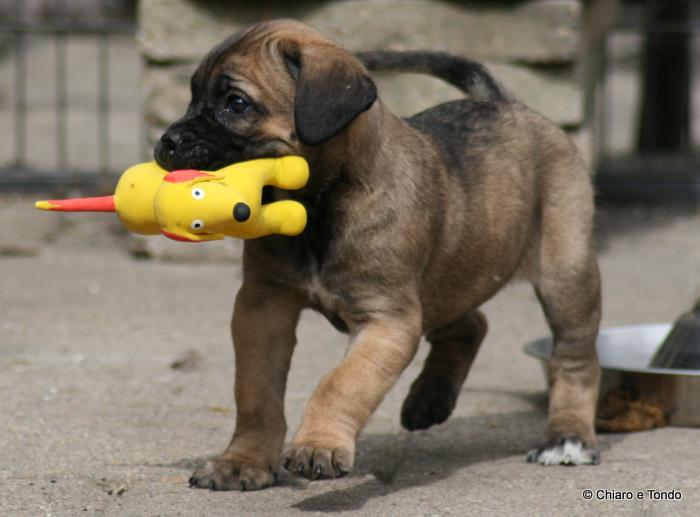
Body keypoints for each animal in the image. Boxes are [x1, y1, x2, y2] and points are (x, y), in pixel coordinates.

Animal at [154, 19, 602, 491]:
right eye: (192, 95)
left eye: (236, 104)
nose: (166, 141)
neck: (318, 208)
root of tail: (509, 106)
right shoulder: (263, 307)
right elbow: (256, 391)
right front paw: (243, 461)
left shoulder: (387, 321)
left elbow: (341, 383)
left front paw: (317, 445)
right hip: (445, 282)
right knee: (471, 324)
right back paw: (429, 399)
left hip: (566, 277)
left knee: (575, 357)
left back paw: (568, 437)